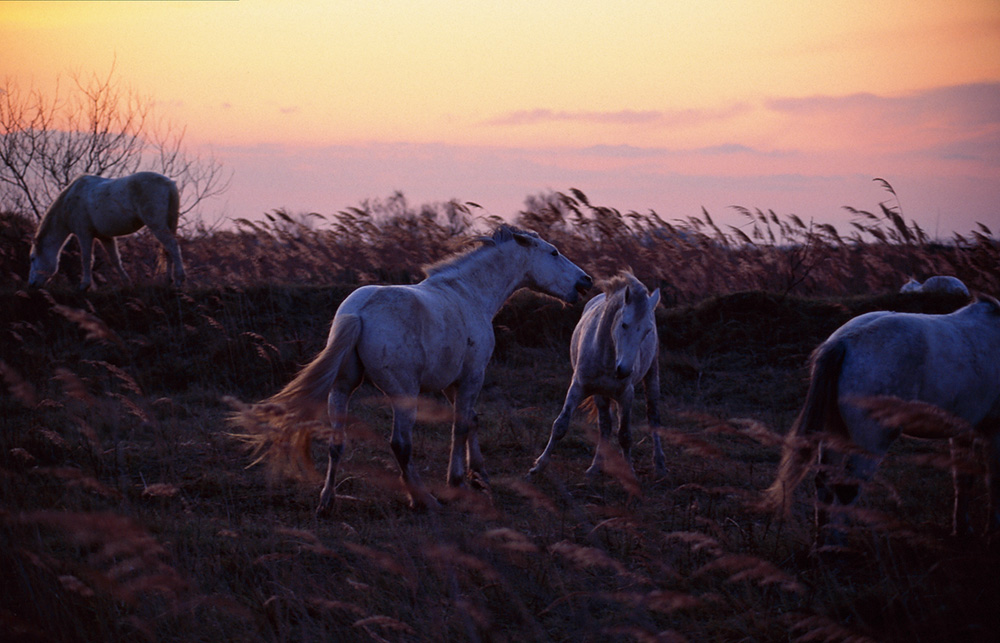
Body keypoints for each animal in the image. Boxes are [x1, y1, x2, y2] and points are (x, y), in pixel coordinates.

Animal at [28, 174, 186, 290]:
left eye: (33, 258)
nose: (31, 285)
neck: (69, 201)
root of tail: (169, 183)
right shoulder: (105, 237)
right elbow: (115, 259)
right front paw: (127, 282)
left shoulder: (84, 234)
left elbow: (86, 258)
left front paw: (84, 285)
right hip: (168, 224)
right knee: (168, 250)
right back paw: (168, 280)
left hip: (157, 225)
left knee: (172, 246)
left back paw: (179, 279)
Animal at [237, 224, 588, 516]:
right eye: (553, 252)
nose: (585, 281)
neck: (470, 293)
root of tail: (358, 312)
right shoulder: (472, 377)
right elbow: (461, 425)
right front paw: (458, 481)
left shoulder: (452, 383)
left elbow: (471, 420)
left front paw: (480, 475)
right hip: (403, 393)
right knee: (400, 444)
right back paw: (424, 500)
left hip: (342, 388)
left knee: (337, 443)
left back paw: (327, 502)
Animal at [528, 272, 668, 484]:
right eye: (624, 324)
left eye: (647, 331)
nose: (624, 371)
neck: (605, 357)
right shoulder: (578, 387)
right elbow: (560, 425)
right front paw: (538, 466)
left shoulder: (626, 395)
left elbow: (625, 435)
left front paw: (630, 473)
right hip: (600, 394)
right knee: (605, 426)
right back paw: (595, 467)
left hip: (651, 376)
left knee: (653, 418)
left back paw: (659, 465)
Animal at [764, 300, 1000, 544]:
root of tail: (844, 341)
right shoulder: (993, 429)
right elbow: (994, 478)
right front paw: (991, 531)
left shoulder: (963, 430)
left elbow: (963, 479)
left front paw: (962, 530)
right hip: (871, 442)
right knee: (847, 487)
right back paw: (838, 545)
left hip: (834, 434)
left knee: (825, 482)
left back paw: (822, 543)